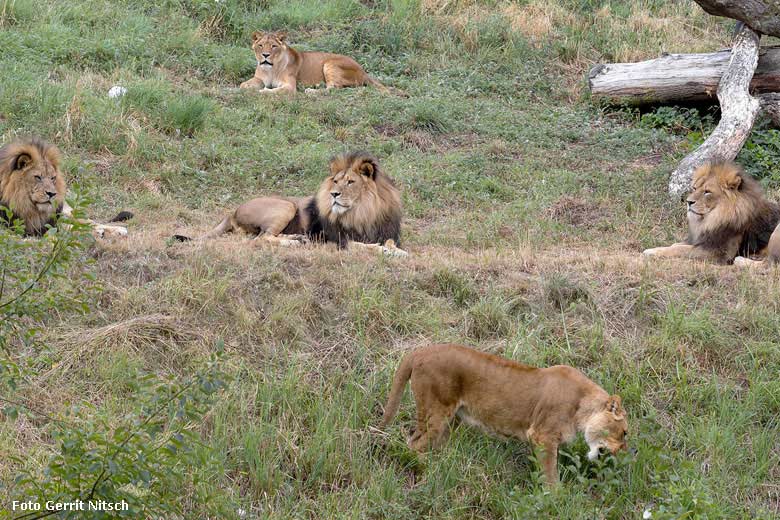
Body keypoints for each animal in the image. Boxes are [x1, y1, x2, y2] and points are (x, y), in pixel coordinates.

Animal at [175, 150, 408, 256]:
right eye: (335, 181)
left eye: (350, 182)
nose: (333, 194)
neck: (363, 212)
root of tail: (232, 211)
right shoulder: (337, 240)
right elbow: (364, 246)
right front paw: (384, 251)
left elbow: (389, 243)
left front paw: (397, 251)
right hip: (285, 206)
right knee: (260, 239)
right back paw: (294, 242)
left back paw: (296, 238)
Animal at [238, 30, 394, 94]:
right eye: (260, 45)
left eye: (273, 46)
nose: (265, 55)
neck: (271, 68)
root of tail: (363, 70)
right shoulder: (259, 78)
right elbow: (242, 85)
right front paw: (245, 88)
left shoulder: (289, 86)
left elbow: (273, 91)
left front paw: (263, 91)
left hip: (329, 63)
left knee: (333, 89)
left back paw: (311, 90)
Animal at [380, 344, 632, 486]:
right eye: (624, 433)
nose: (624, 453)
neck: (582, 408)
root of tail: (420, 351)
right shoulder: (542, 436)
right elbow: (551, 474)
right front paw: (556, 498)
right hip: (435, 413)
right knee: (414, 444)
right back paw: (423, 471)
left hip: (450, 421)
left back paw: (437, 466)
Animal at [640, 162, 780, 266]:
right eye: (695, 188)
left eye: (707, 192)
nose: (688, 202)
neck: (711, 219)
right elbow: (676, 244)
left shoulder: (718, 252)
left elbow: (680, 249)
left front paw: (652, 251)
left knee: (770, 265)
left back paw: (743, 260)